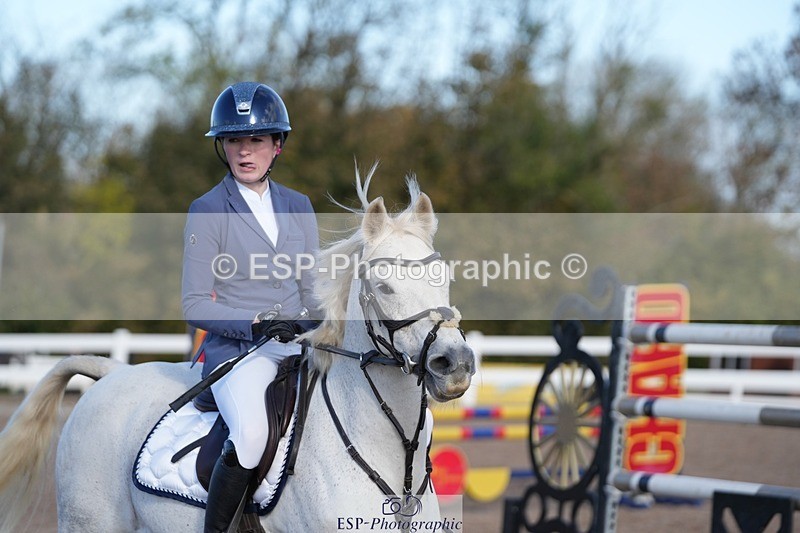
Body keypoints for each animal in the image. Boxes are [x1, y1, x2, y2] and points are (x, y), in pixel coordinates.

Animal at [0, 168, 475, 532]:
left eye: (444, 276)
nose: (454, 364)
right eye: (384, 286)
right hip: (91, 519)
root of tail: (113, 374)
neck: (394, 453)